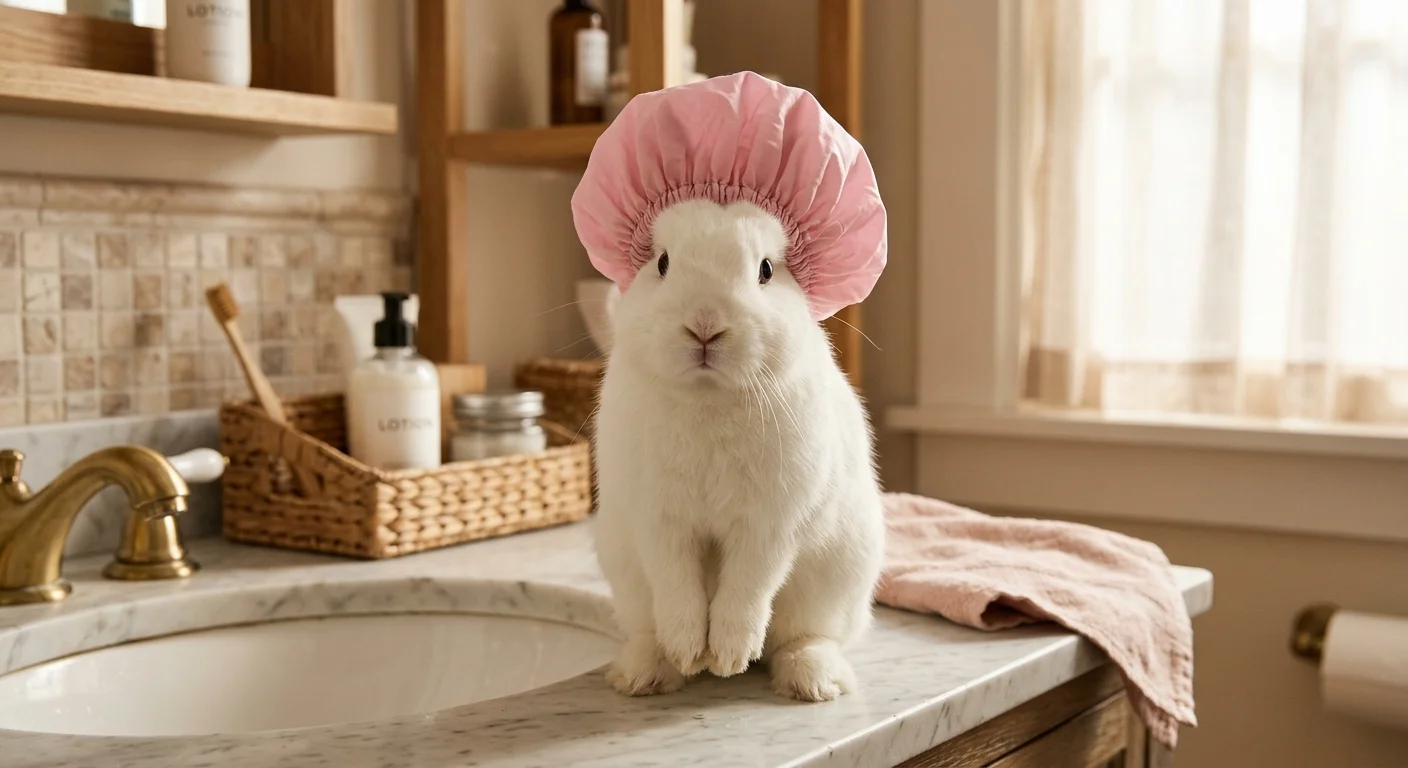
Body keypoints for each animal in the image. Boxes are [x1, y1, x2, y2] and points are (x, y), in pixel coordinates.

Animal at [592, 198, 886, 703]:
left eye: (765, 270)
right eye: (662, 262)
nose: (705, 326)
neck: (709, 396)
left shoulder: (769, 525)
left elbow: (748, 586)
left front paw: (728, 657)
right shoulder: (658, 521)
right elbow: (677, 585)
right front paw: (691, 651)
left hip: (835, 584)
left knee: (805, 638)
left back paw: (814, 681)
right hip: (628, 580)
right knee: (649, 626)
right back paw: (646, 673)